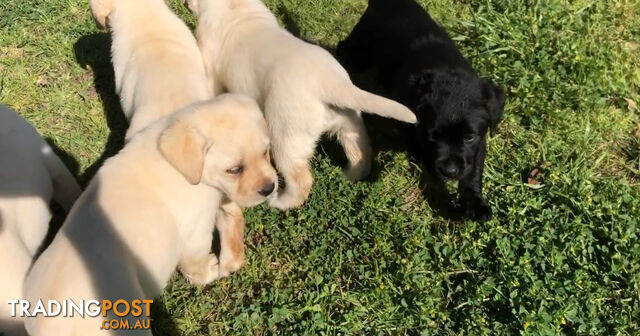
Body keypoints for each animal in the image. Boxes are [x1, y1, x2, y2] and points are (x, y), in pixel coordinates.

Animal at [23, 95, 278, 336]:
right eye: (234, 170)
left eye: (266, 152)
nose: (270, 188)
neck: (177, 165)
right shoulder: (196, 231)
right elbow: (195, 262)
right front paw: (210, 271)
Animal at [186, 0, 416, 210]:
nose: (186, 3)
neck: (237, 8)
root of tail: (329, 82)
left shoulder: (210, 63)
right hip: (348, 121)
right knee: (360, 151)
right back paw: (350, 174)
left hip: (285, 134)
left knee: (300, 179)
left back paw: (281, 202)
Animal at [338, 0, 508, 222]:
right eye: (432, 136)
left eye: (469, 137)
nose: (450, 171)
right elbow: (417, 144)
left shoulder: (479, 141)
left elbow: (473, 170)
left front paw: (474, 203)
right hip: (361, 50)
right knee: (343, 50)